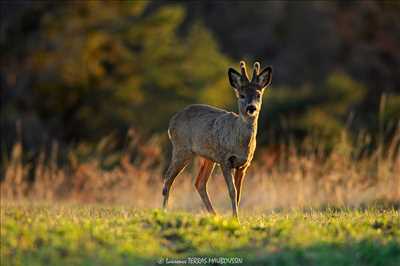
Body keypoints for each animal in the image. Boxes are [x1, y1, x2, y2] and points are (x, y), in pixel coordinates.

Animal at [162, 61, 272, 219]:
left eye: (258, 94)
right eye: (242, 95)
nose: (251, 108)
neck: (238, 141)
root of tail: (171, 123)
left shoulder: (244, 165)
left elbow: (239, 193)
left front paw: (235, 217)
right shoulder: (225, 159)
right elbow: (232, 192)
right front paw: (235, 219)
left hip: (208, 157)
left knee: (199, 183)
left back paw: (214, 214)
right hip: (181, 149)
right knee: (168, 179)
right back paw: (163, 211)